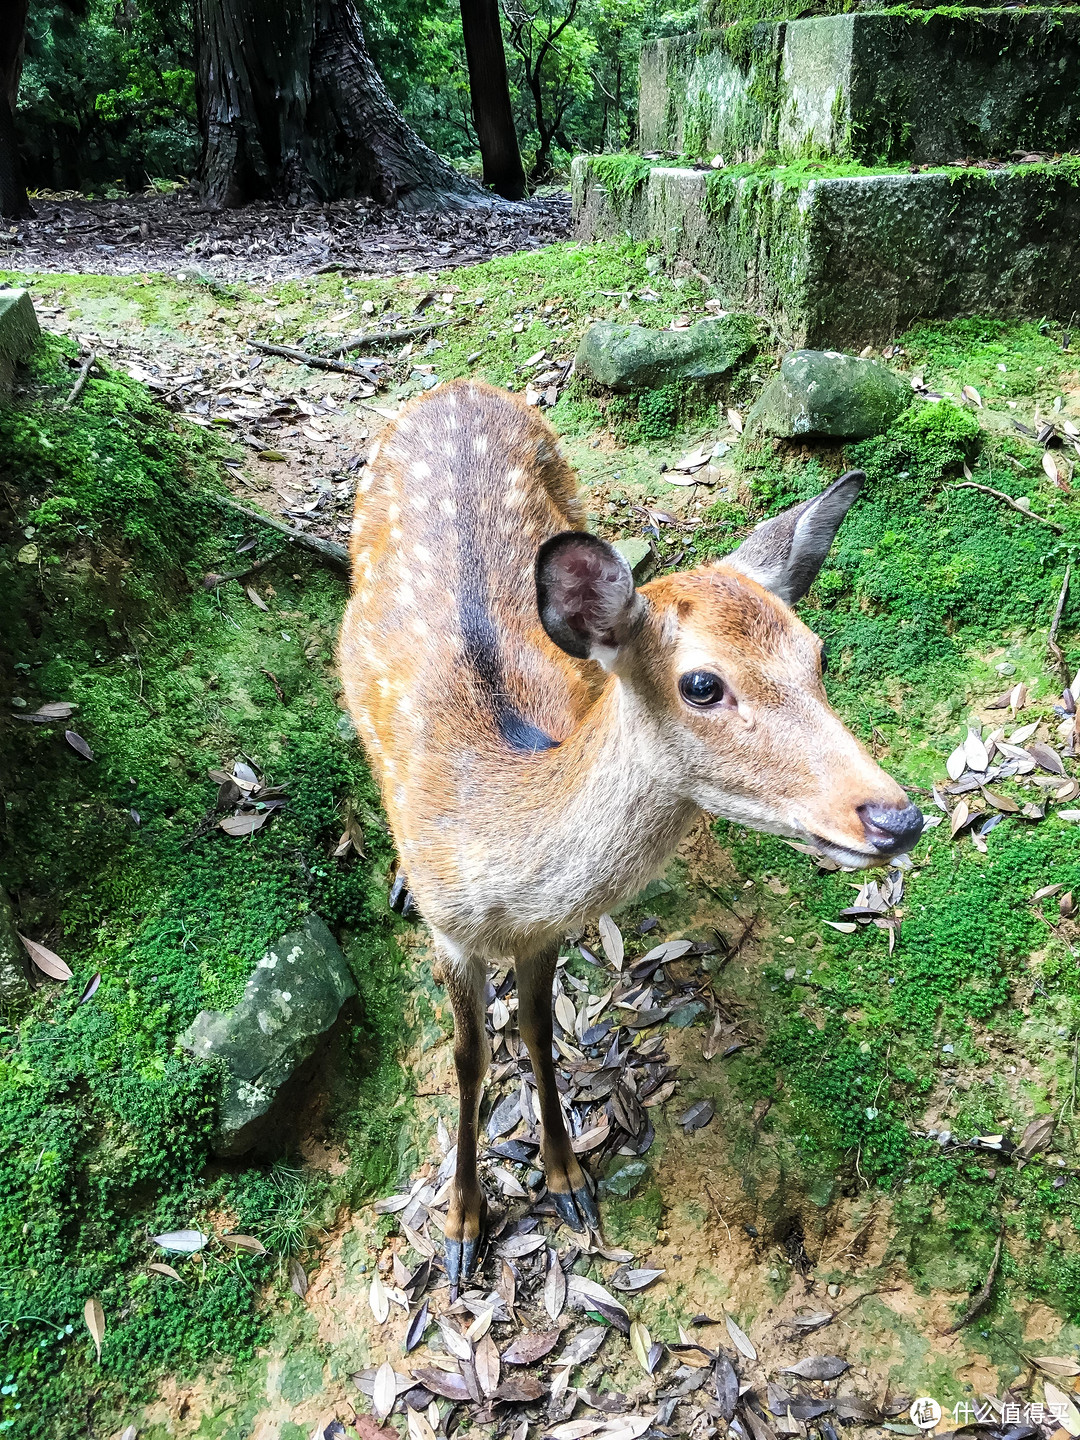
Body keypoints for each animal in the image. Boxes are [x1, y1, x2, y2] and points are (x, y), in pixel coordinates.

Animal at [342, 377, 927, 1290]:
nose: (897, 816)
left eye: (818, 655)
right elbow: (469, 1059)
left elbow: (539, 1033)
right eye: (701, 684)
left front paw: (566, 1179)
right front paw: (463, 1226)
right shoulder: (452, 933)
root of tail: (457, 386)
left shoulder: (541, 930)